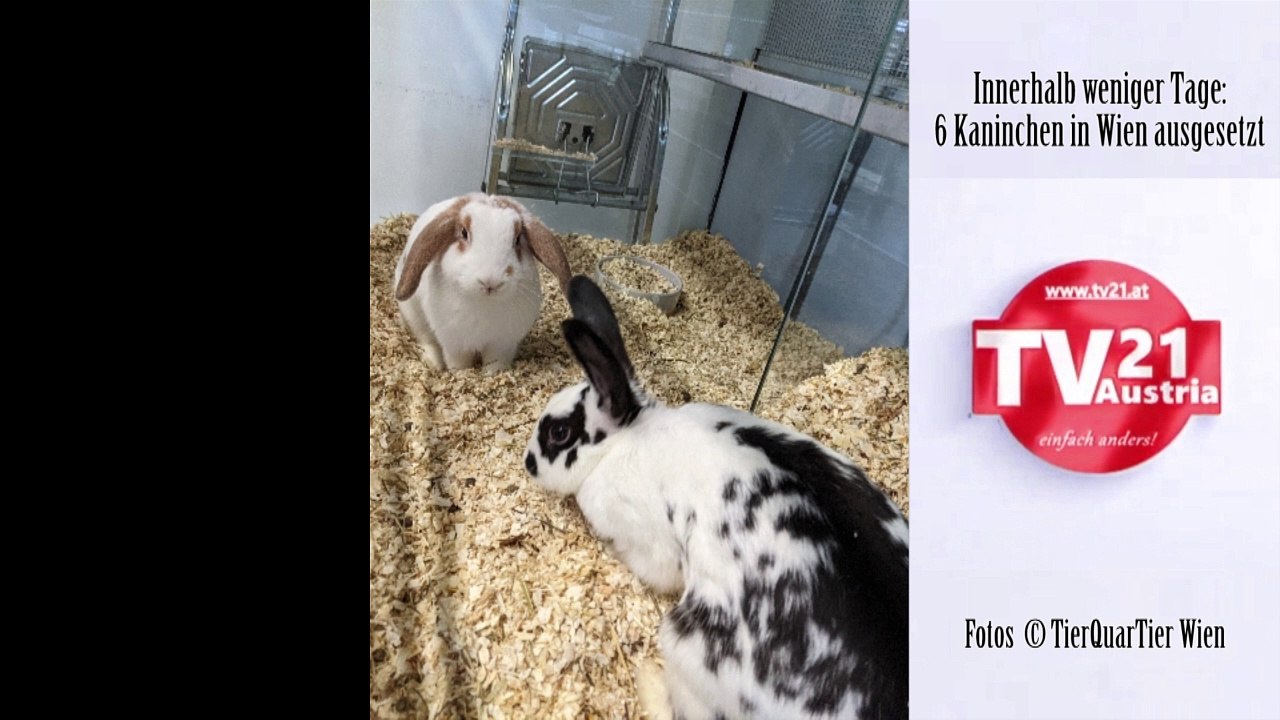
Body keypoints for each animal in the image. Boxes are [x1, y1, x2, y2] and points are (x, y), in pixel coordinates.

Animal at [393, 193, 571, 373]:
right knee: (426, 340)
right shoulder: (455, 344)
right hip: (413, 316)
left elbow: (494, 364)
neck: (485, 303)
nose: (490, 282)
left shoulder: (501, 345)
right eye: (464, 233)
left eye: (517, 239)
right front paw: (460, 374)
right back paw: (434, 363)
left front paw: (492, 374)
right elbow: (459, 363)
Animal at [524, 276, 908, 720]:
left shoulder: (648, 543)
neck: (625, 439)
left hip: (685, 645)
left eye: (559, 434)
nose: (527, 463)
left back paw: (647, 677)